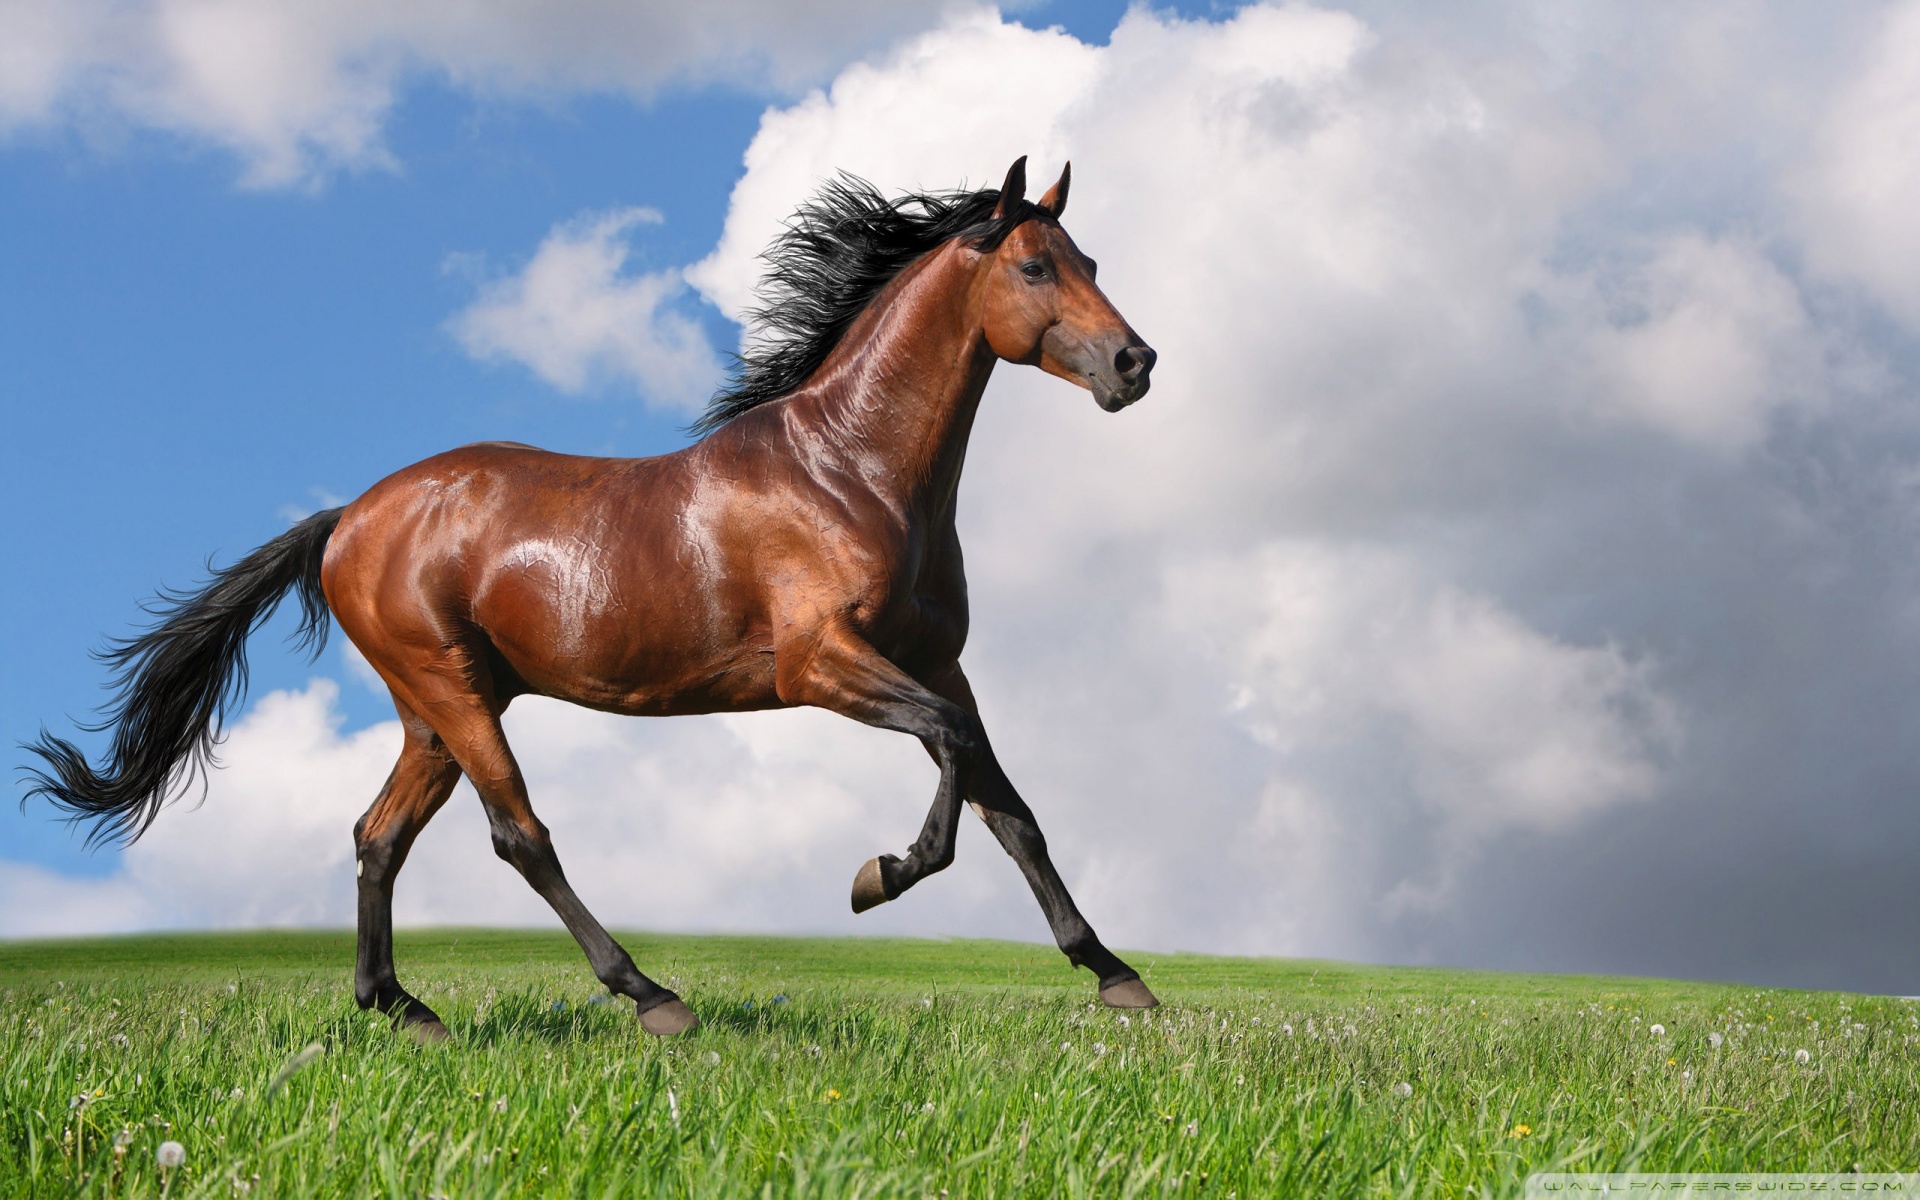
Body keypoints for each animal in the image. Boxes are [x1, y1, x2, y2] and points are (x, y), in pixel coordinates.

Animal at [26, 156, 1152, 1036]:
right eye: (1035, 265)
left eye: (1092, 263)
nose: (1134, 362)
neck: (850, 470)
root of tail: (347, 518)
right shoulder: (821, 663)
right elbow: (956, 767)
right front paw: (877, 877)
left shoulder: (936, 662)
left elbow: (1012, 809)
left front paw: (1115, 975)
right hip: (451, 691)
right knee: (518, 833)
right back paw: (651, 996)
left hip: (435, 709)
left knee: (378, 836)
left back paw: (404, 1008)